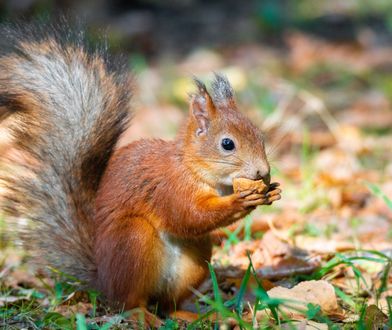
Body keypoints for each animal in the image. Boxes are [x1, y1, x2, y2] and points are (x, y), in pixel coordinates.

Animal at [0, 27, 282, 314]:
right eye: (227, 144)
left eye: (260, 135)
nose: (262, 171)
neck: (196, 169)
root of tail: (103, 282)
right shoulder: (169, 187)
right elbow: (189, 216)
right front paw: (241, 200)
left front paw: (270, 192)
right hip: (132, 241)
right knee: (130, 301)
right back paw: (141, 315)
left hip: (197, 253)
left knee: (166, 304)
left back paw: (182, 314)